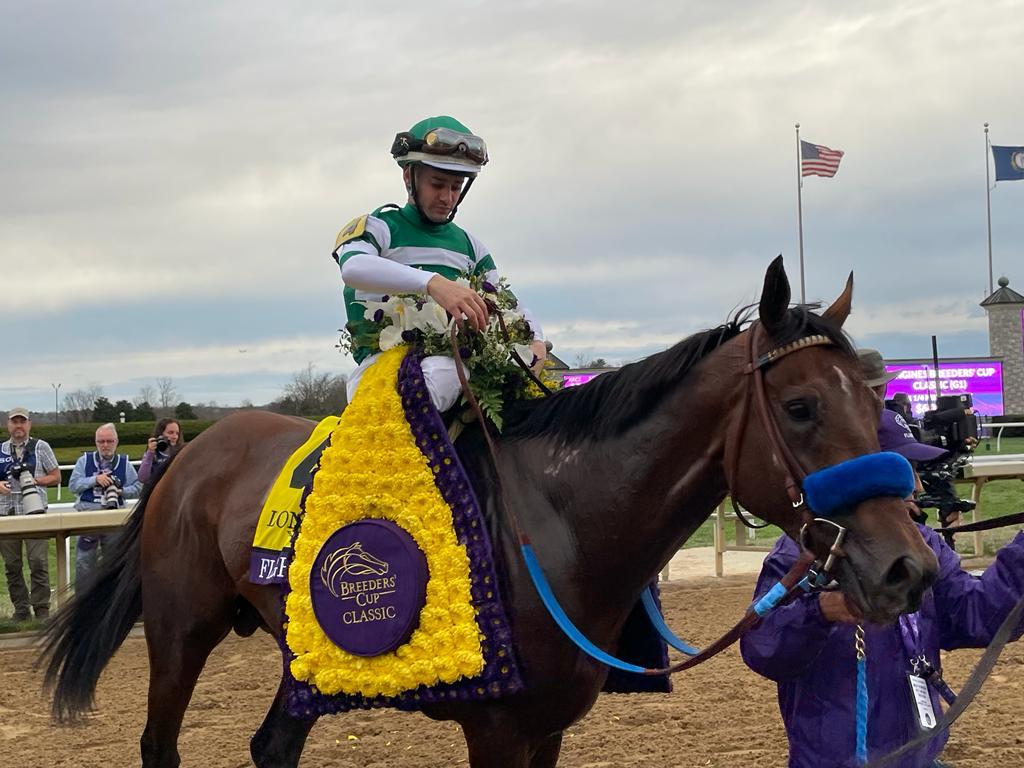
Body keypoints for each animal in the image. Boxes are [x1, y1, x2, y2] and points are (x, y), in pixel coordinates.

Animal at [39, 260, 937, 768]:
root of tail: (186, 454)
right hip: (180, 631)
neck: (557, 521)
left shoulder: (550, 728)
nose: (910, 566)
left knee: (272, 749)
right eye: (800, 406)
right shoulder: (499, 731)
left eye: (876, 402)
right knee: (159, 744)